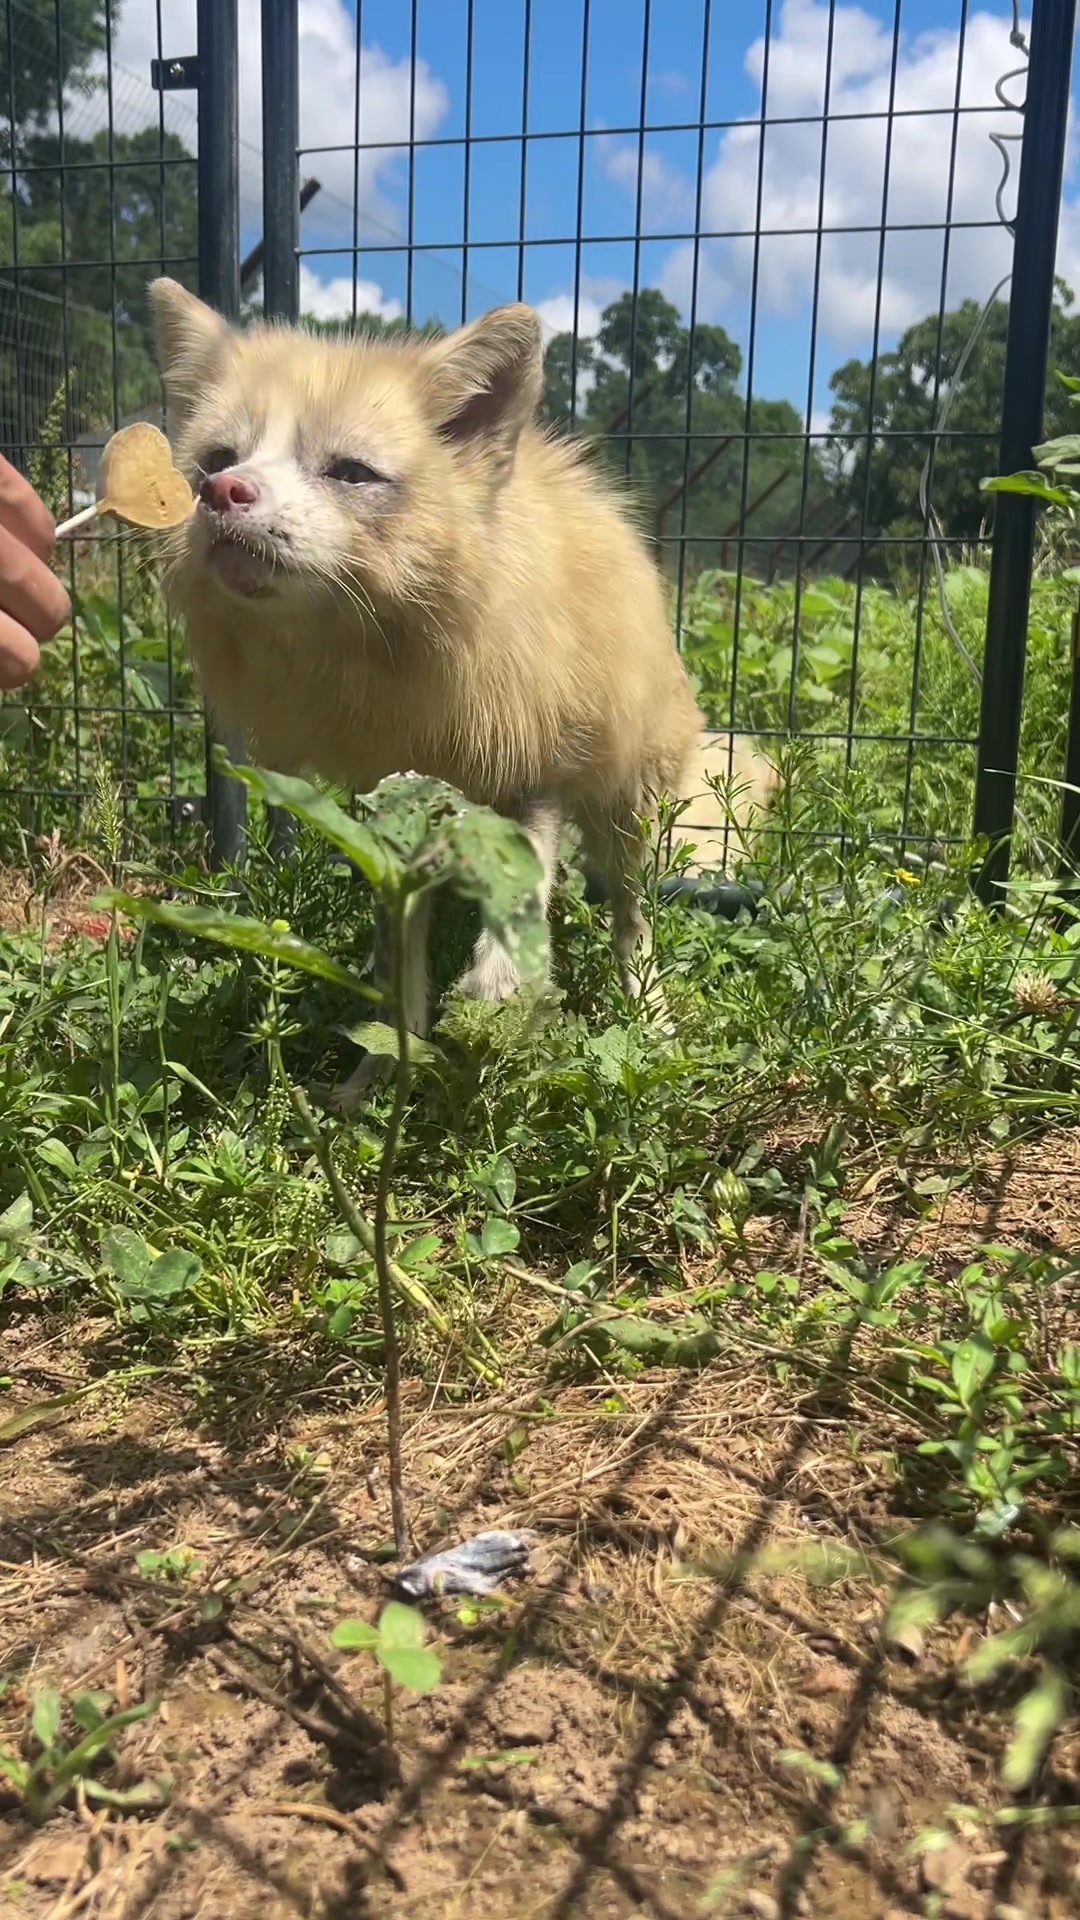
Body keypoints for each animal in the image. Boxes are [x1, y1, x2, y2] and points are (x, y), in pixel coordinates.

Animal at [148, 279, 774, 1064]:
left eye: (350, 471)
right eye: (217, 456)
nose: (224, 492)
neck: (390, 663)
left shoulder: (533, 765)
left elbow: (528, 877)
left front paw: (499, 979)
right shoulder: (388, 803)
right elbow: (402, 962)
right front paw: (384, 1064)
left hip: (627, 813)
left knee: (632, 917)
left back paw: (646, 1007)